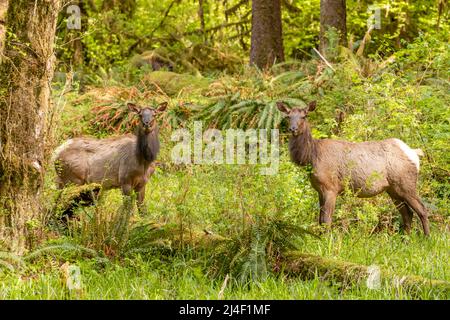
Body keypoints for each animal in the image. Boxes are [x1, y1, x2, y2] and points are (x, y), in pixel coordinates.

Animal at [276, 100, 430, 235]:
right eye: (288, 116)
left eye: (304, 116)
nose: (293, 129)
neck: (311, 157)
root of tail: (414, 153)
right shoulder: (319, 190)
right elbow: (320, 220)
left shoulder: (331, 187)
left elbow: (326, 220)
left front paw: (326, 241)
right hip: (393, 188)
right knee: (407, 213)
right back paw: (406, 238)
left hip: (406, 183)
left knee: (422, 209)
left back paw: (426, 238)